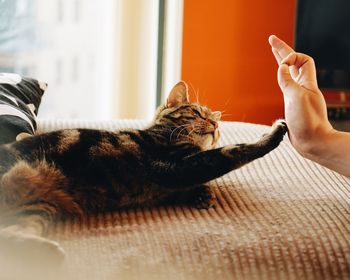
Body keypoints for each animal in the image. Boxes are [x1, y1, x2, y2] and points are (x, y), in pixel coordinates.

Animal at [0, 80, 288, 262]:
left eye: (215, 120)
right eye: (198, 113)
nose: (216, 125)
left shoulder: (177, 175)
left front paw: (203, 195)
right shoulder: (177, 166)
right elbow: (230, 152)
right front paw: (274, 132)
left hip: (36, 208)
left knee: (11, 240)